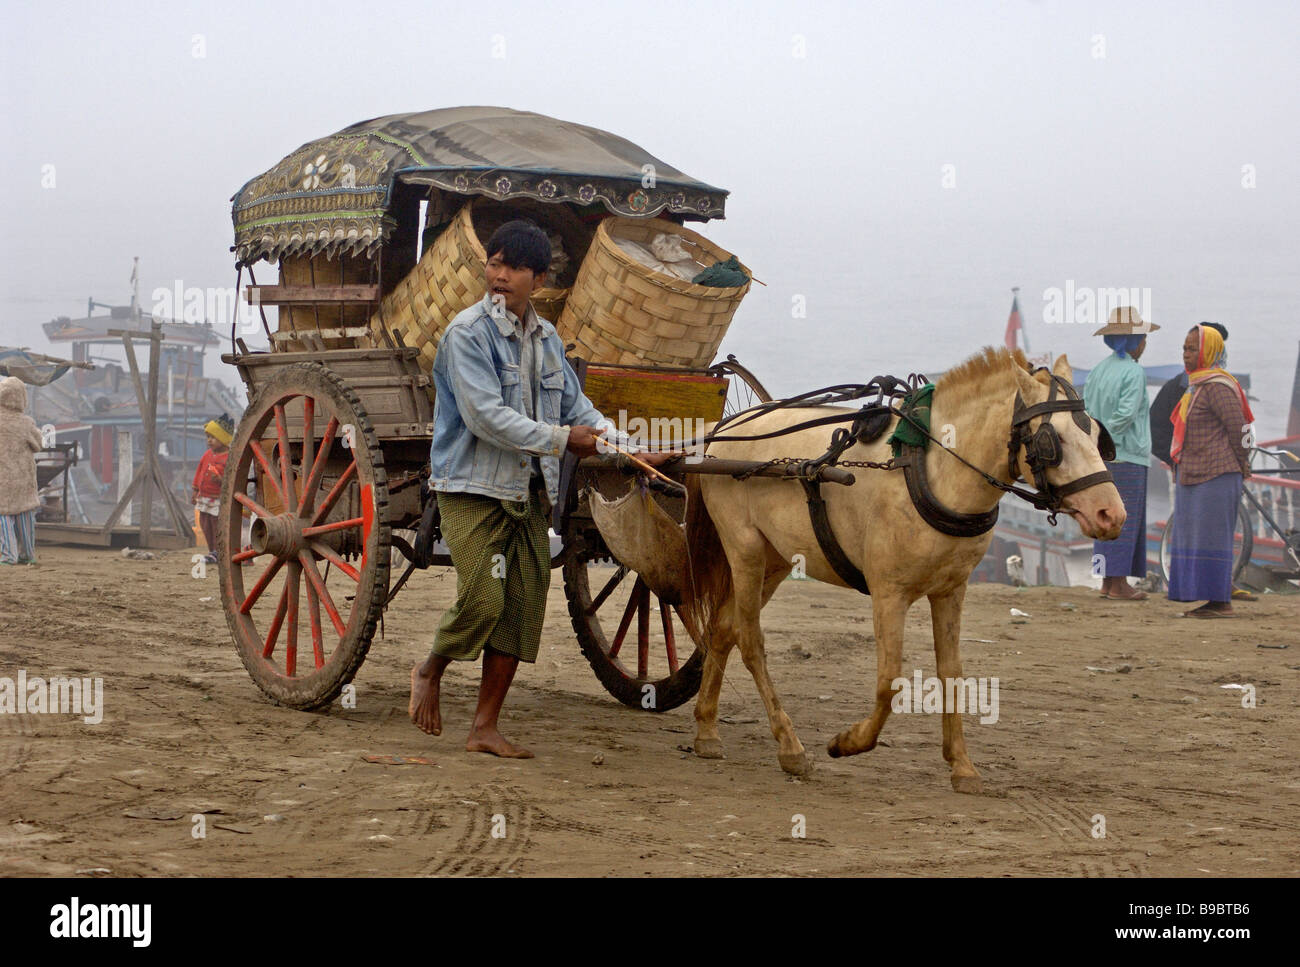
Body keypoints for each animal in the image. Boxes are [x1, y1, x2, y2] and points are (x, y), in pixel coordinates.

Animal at [681, 348, 1128, 795]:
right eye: (1054, 440)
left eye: (1097, 435)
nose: (1111, 514)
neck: (930, 470)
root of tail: (724, 429)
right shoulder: (888, 592)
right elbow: (890, 679)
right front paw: (850, 741)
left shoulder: (951, 590)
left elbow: (951, 672)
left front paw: (961, 764)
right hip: (745, 549)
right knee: (749, 640)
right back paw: (789, 745)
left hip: (776, 558)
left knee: (723, 629)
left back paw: (707, 729)